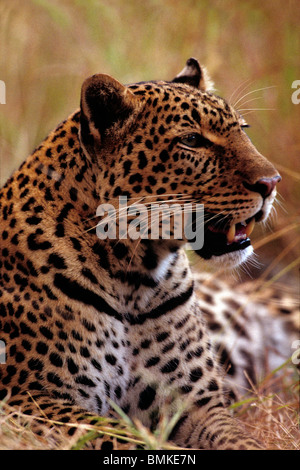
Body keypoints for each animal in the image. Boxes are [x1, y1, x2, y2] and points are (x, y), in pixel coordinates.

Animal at [0, 58, 296, 452]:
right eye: (192, 141)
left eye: (243, 130)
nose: (272, 182)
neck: (134, 275)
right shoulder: (30, 400)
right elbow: (124, 440)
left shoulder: (198, 405)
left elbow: (240, 440)